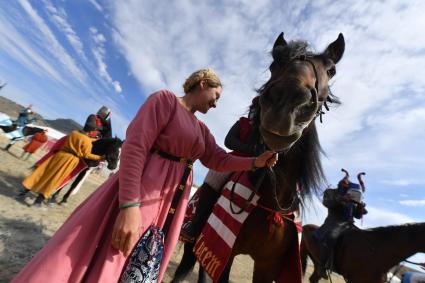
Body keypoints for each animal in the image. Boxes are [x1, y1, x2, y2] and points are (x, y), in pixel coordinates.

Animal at [171, 31, 344, 283]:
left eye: (331, 70)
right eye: (274, 63)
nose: (286, 103)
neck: (271, 200)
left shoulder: (267, 265)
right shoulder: (224, 249)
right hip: (194, 239)